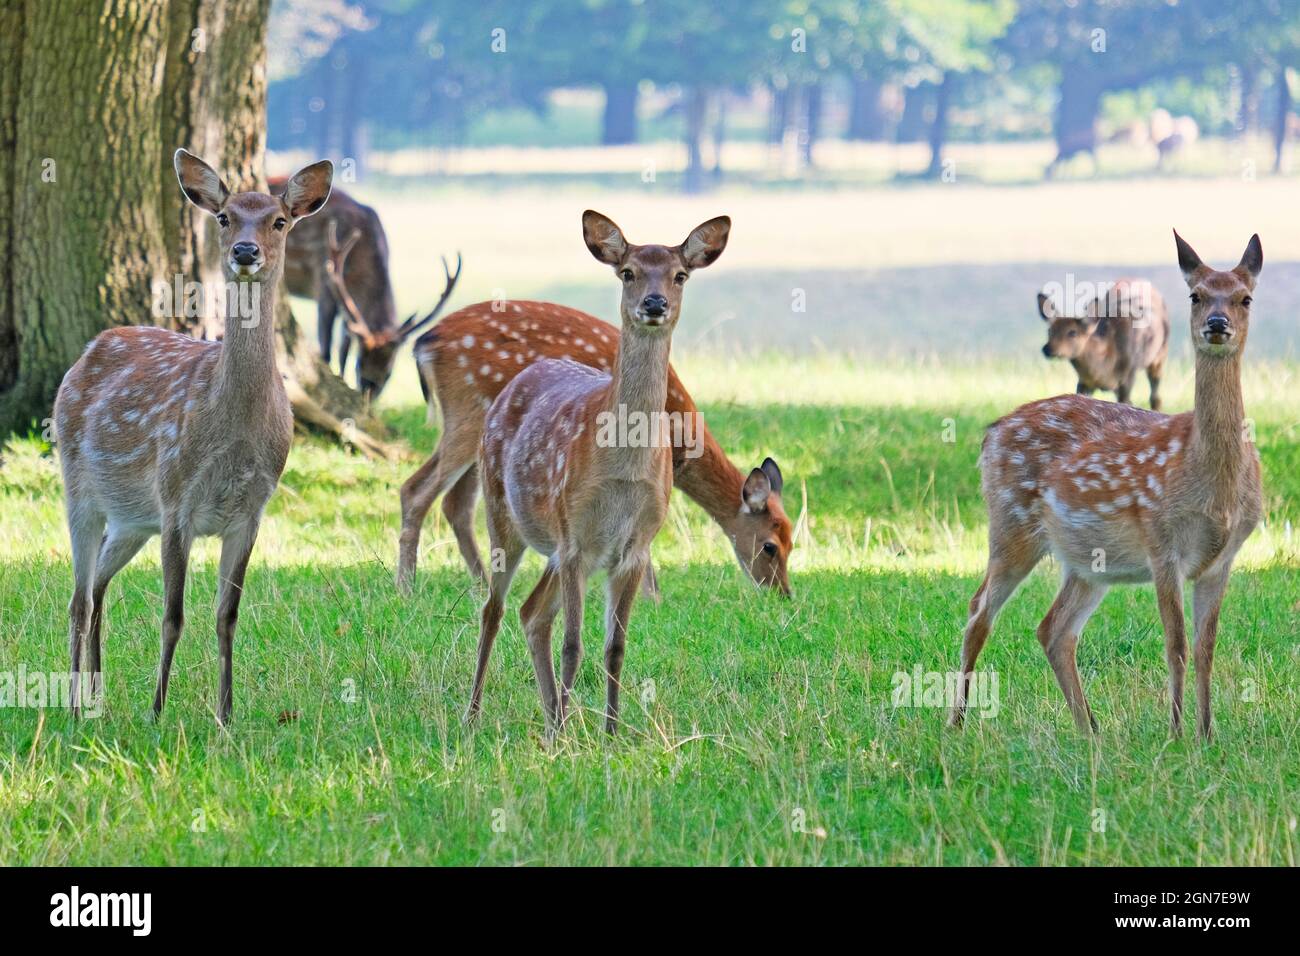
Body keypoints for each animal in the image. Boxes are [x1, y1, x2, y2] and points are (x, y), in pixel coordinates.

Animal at [53, 149, 333, 724]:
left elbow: (227, 615)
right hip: (80, 488)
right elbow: (173, 615)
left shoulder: (250, 511)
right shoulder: (176, 498)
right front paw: (157, 710)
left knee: (99, 586)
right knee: (79, 599)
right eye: (224, 217)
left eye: (279, 220)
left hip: (133, 519)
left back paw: (97, 697)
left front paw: (227, 714)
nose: (246, 251)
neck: (236, 434)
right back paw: (73, 704)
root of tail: (88, 350)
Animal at [394, 301, 793, 598]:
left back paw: (479, 585)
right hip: (469, 411)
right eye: (770, 545)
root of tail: (424, 343)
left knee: (455, 503)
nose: (782, 594)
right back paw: (407, 587)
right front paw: (652, 598)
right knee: (416, 489)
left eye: (793, 543)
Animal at [466, 210, 730, 736]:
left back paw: (552, 717)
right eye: (628, 271)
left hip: (554, 544)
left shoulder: (636, 545)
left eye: (680, 275)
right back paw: (477, 712)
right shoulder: (575, 539)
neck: (623, 470)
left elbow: (615, 646)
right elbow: (574, 645)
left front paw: (610, 732)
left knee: (531, 613)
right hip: (505, 512)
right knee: (494, 608)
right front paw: (572, 737)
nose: (654, 303)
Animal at [1038, 278, 1170, 409]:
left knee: (1155, 397)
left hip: (1160, 354)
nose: (1047, 349)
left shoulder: (1128, 375)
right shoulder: (1084, 382)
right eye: (1049, 330)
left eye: (1072, 332)